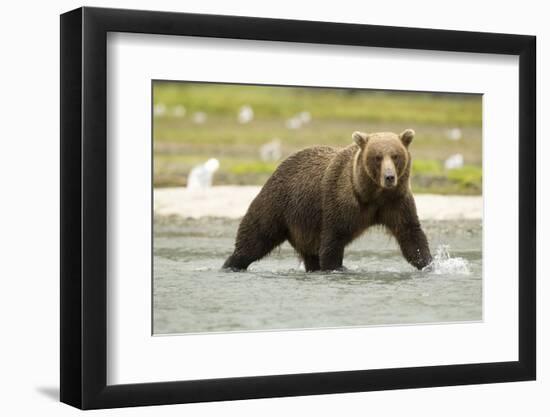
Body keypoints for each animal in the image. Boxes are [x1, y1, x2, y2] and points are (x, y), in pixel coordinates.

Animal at [222, 128, 434, 272]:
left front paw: (429, 264)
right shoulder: (340, 201)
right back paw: (231, 264)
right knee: (255, 237)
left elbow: (410, 234)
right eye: (377, 157)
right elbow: (333, 240)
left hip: (303, 225)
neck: (372, 194)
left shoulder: (396, 202)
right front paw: (336, 268)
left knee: (309, 254)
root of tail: (278, 167)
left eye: (395, 156)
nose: (389, 177)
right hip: (278, 204)